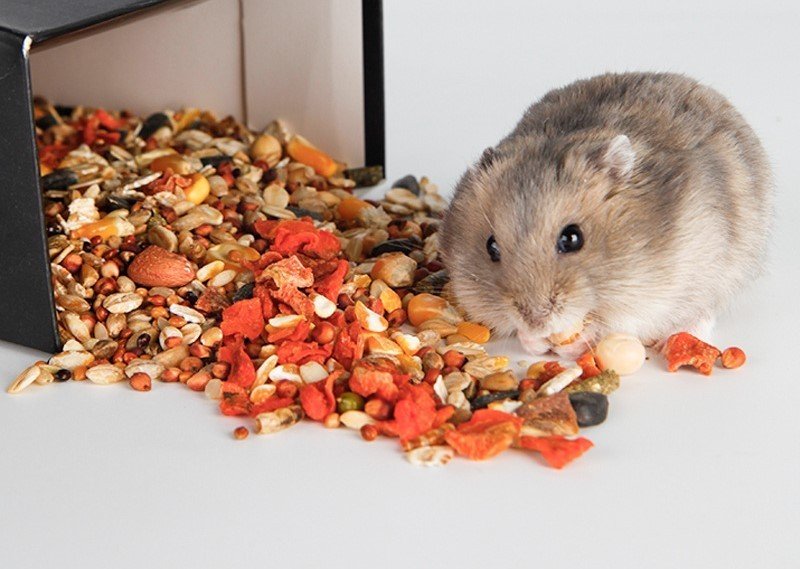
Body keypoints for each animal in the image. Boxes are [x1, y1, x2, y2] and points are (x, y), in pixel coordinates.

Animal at [440, 72, 772, 357]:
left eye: (572, 238)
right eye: (491, 247)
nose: (536, 321)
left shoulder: (650, 295)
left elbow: (607, 324)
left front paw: (570, 343)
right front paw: (534, 341)